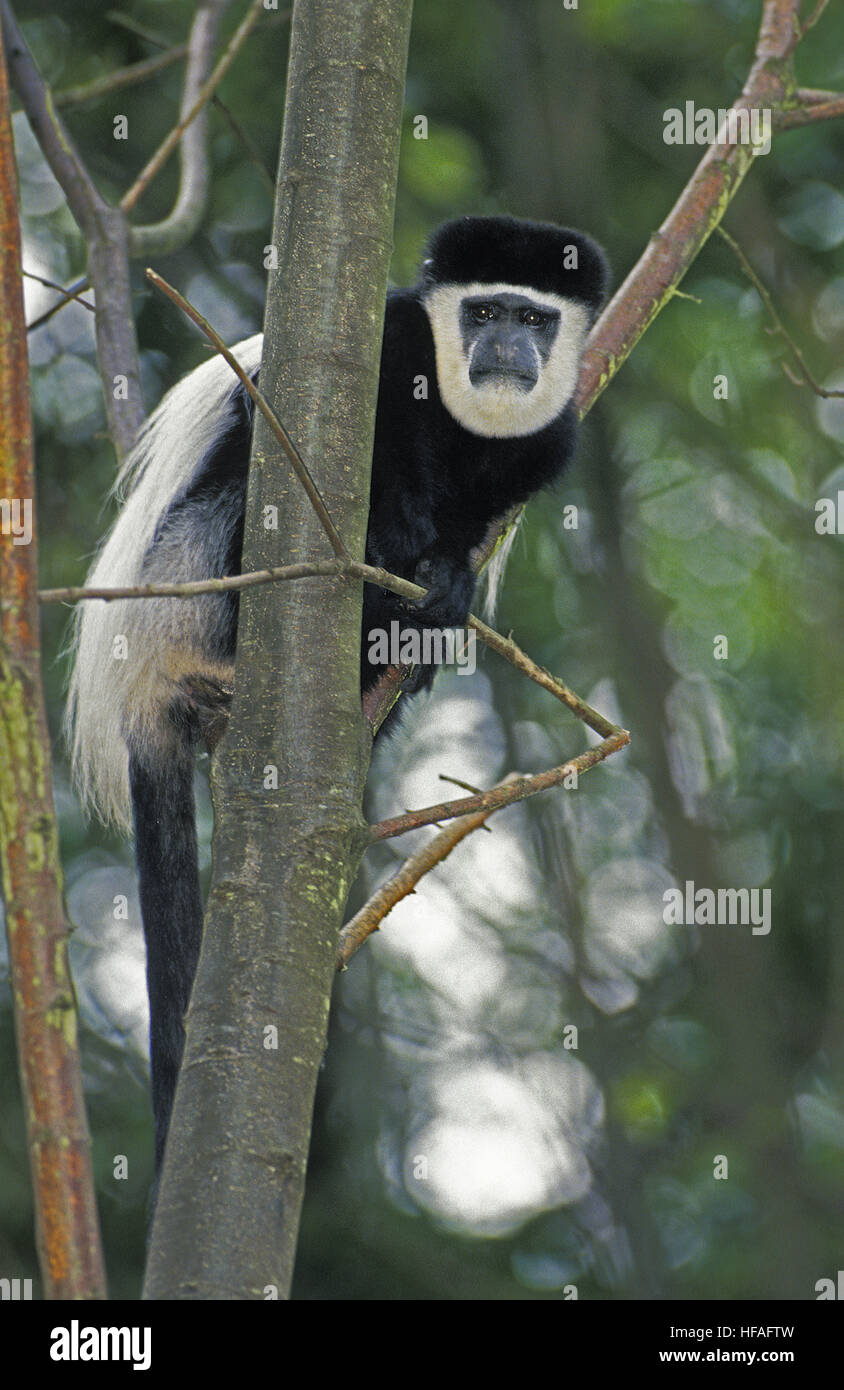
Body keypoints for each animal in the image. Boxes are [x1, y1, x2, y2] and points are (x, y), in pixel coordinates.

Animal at [66, 215, 608, 1172]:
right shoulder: (393, 345)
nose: (505, 348)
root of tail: (135, 693)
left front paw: (444, 583)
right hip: (179, 583)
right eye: (481, 311)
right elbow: (291, 430)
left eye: (536, 319)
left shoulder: (545, 445)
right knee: (243, 476)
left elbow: (473, 531)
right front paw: (396, 541)